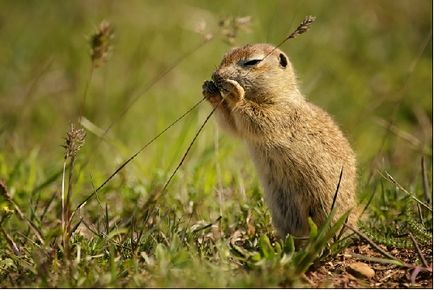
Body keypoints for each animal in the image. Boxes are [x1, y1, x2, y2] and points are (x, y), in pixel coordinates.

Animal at [202, 43, 358, 238]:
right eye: (225, 56)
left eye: (253, 62)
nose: (216, 75)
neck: (281, 92)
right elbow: (231, 125)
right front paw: (209, 90)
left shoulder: (283, 111)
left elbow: (258, 118)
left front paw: (234, 93)